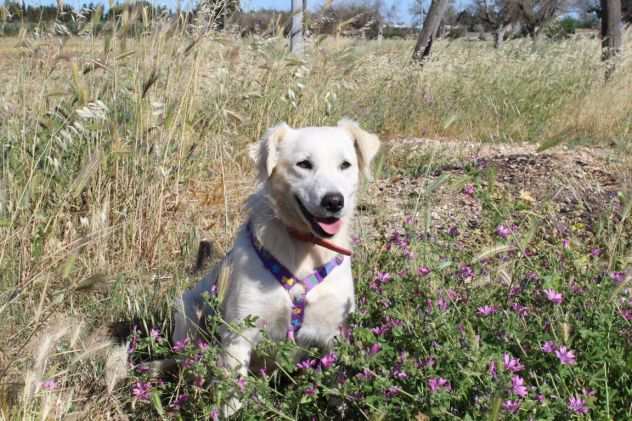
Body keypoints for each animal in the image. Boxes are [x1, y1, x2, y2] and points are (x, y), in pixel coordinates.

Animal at [173, 118, 380, 414]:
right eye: (304, 164)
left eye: (345, 164)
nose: (333, 201)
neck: (305, 249)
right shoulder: (238, 335)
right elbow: (232, 398)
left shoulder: (335, 333)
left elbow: (337, 387)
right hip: (187, 311)